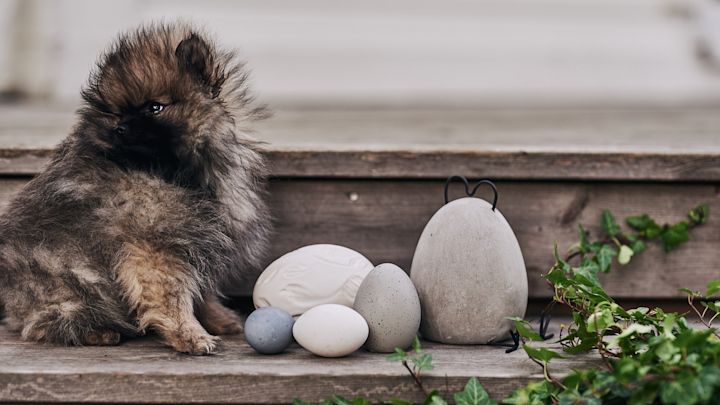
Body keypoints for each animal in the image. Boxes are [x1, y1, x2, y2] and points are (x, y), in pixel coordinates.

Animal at [0, 22, 272, 354]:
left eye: (154, 107)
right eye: (117, 112)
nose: (120, 128)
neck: (180, 173)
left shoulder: (197, 243)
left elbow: (202, 292)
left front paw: (218, 320)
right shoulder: (155, 248)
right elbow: (172, 296)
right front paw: (190, 335)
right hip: (70, 280)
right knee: (40, 323)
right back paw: (97, 332)